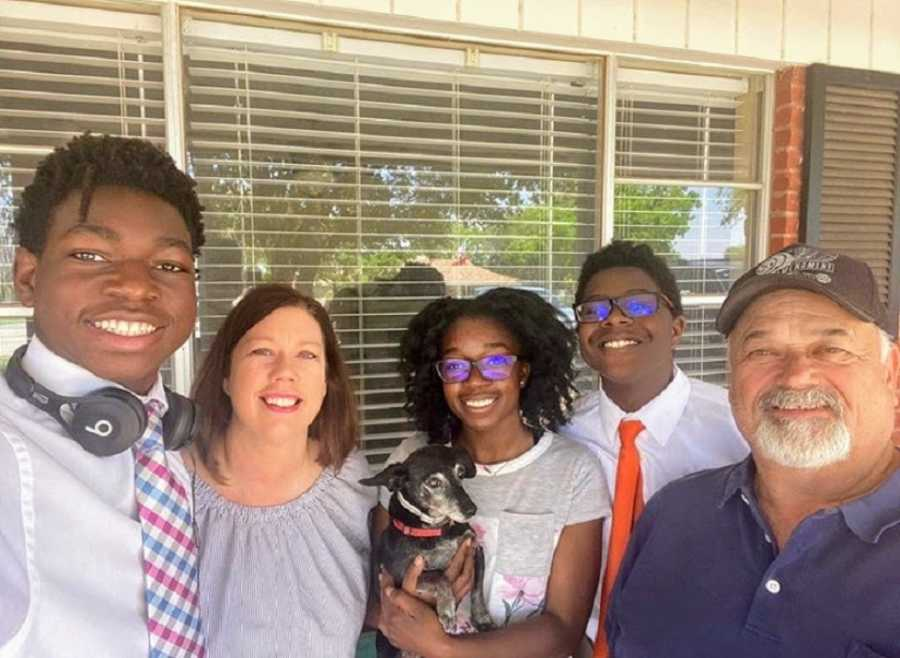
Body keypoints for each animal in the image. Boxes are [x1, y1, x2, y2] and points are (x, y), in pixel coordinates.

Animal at [361, 444, 494, 658]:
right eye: (434, 482)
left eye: (460, 473)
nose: (471, 510)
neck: (435, 529)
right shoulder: (401, 576)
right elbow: (439, 575)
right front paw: (447, 609)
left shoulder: (475, 550)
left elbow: (477, 587)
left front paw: (482, 618)